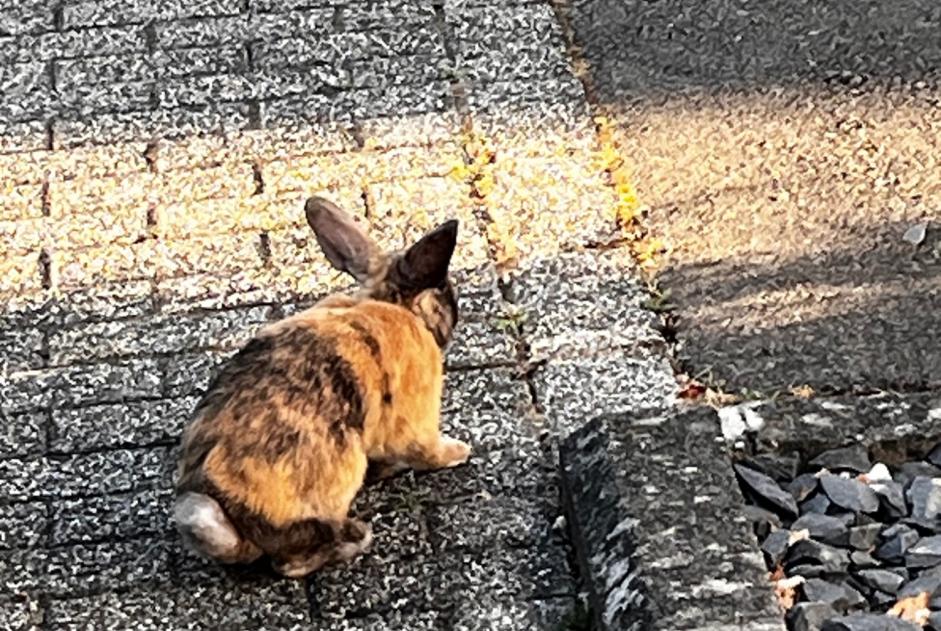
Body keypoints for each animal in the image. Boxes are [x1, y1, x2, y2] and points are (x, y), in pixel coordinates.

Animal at [173, 197, 471, 578]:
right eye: (447, 299)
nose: (455, 318)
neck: (389, 303)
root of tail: (228, 514)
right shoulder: (417, 419)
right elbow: (426, 449)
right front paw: (459, 451)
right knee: (291, 564)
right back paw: (356, 538)